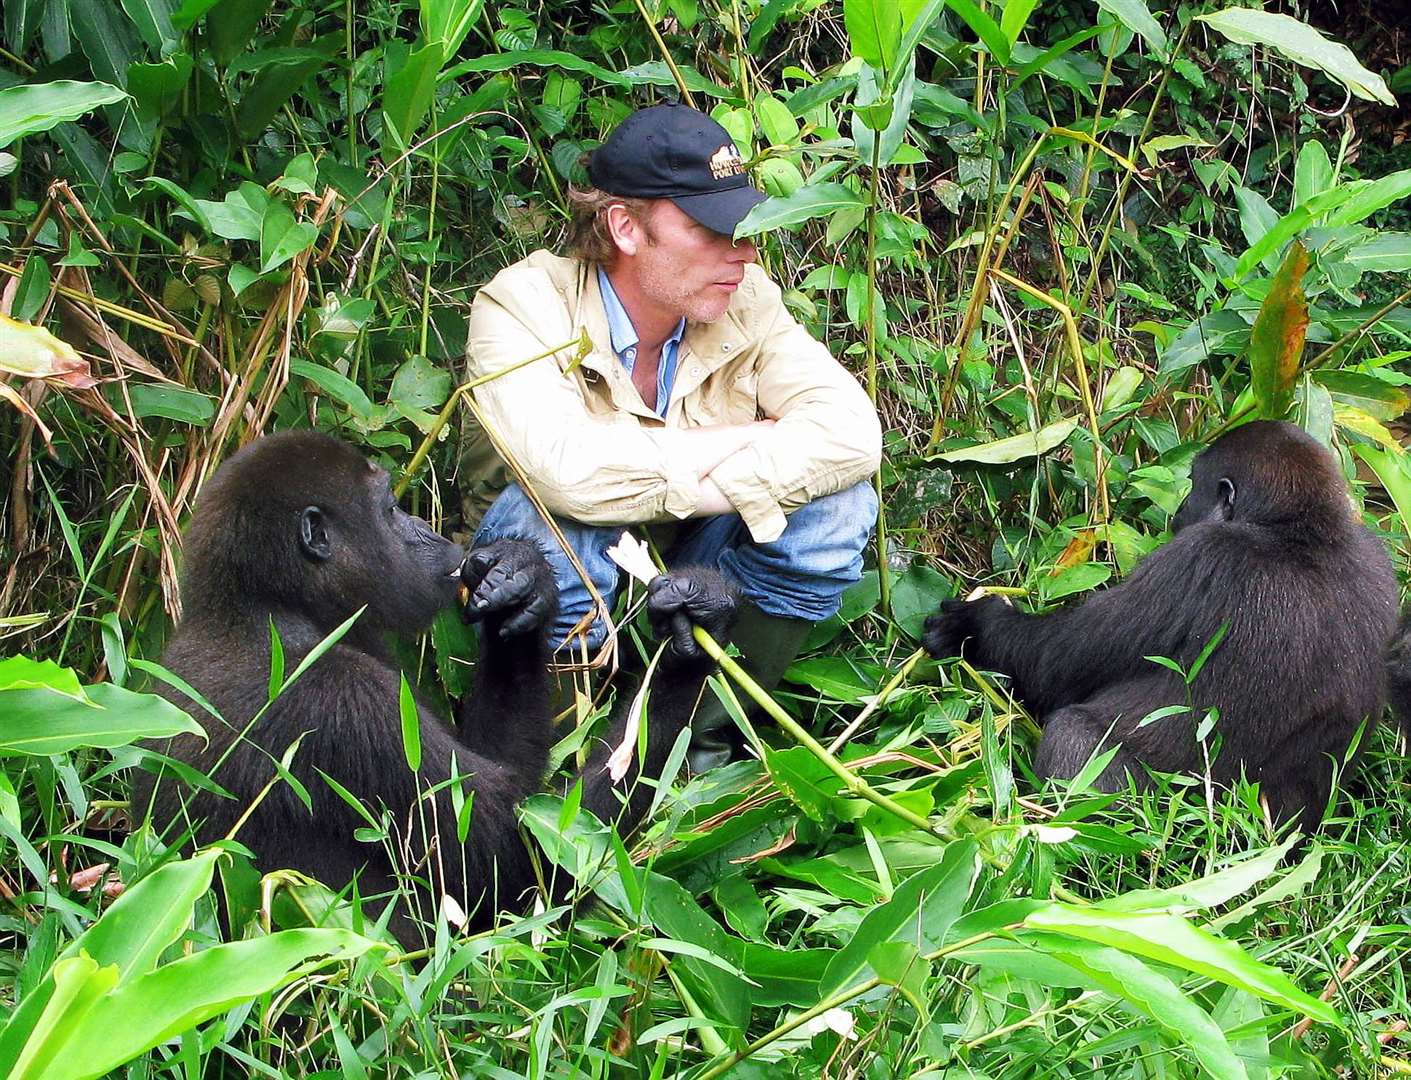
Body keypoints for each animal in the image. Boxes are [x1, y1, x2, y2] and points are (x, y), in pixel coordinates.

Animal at [134, 429, 739, 937]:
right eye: (391, 509)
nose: (429, 533)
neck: (261, 609)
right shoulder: (349, 703)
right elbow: (512, 867)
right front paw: (688, 654)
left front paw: (521, 583)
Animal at [925, 417, 1399, 824]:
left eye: (1195, 483)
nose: (1182, 507)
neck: (1304, 529)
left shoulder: (1199, 555)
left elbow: (1052, 667)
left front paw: (977, 626)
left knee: (1074, 734)